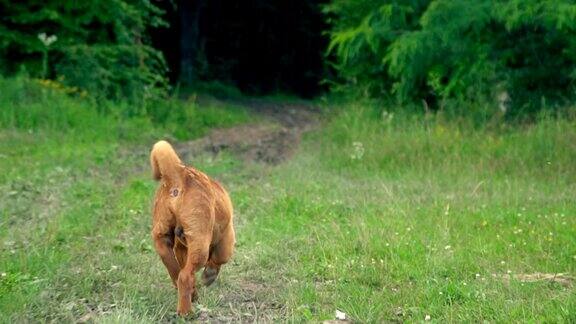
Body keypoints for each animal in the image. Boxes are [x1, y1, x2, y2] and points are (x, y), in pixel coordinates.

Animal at [152, 140, 237, 316]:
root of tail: (180, 174)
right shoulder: (226, 241)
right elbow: (218, 260)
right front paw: (209, 275)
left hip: (162, 239)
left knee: (177, 273)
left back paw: (192, 296)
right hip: (200, 243)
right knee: (185, 276)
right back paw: (186, 312)